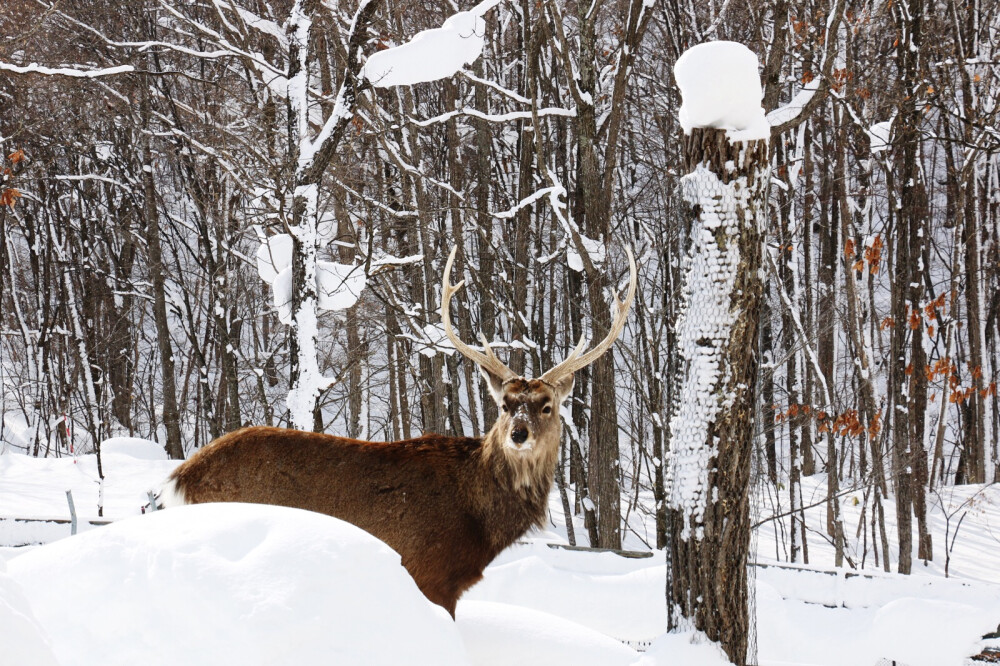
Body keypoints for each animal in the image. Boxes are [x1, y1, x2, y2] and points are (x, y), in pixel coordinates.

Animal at [160, 245, 636, 616]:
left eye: (547, 406)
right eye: (505, 405)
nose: (518, 434)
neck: (479, 519)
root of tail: (180, 479)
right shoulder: (429, 573)